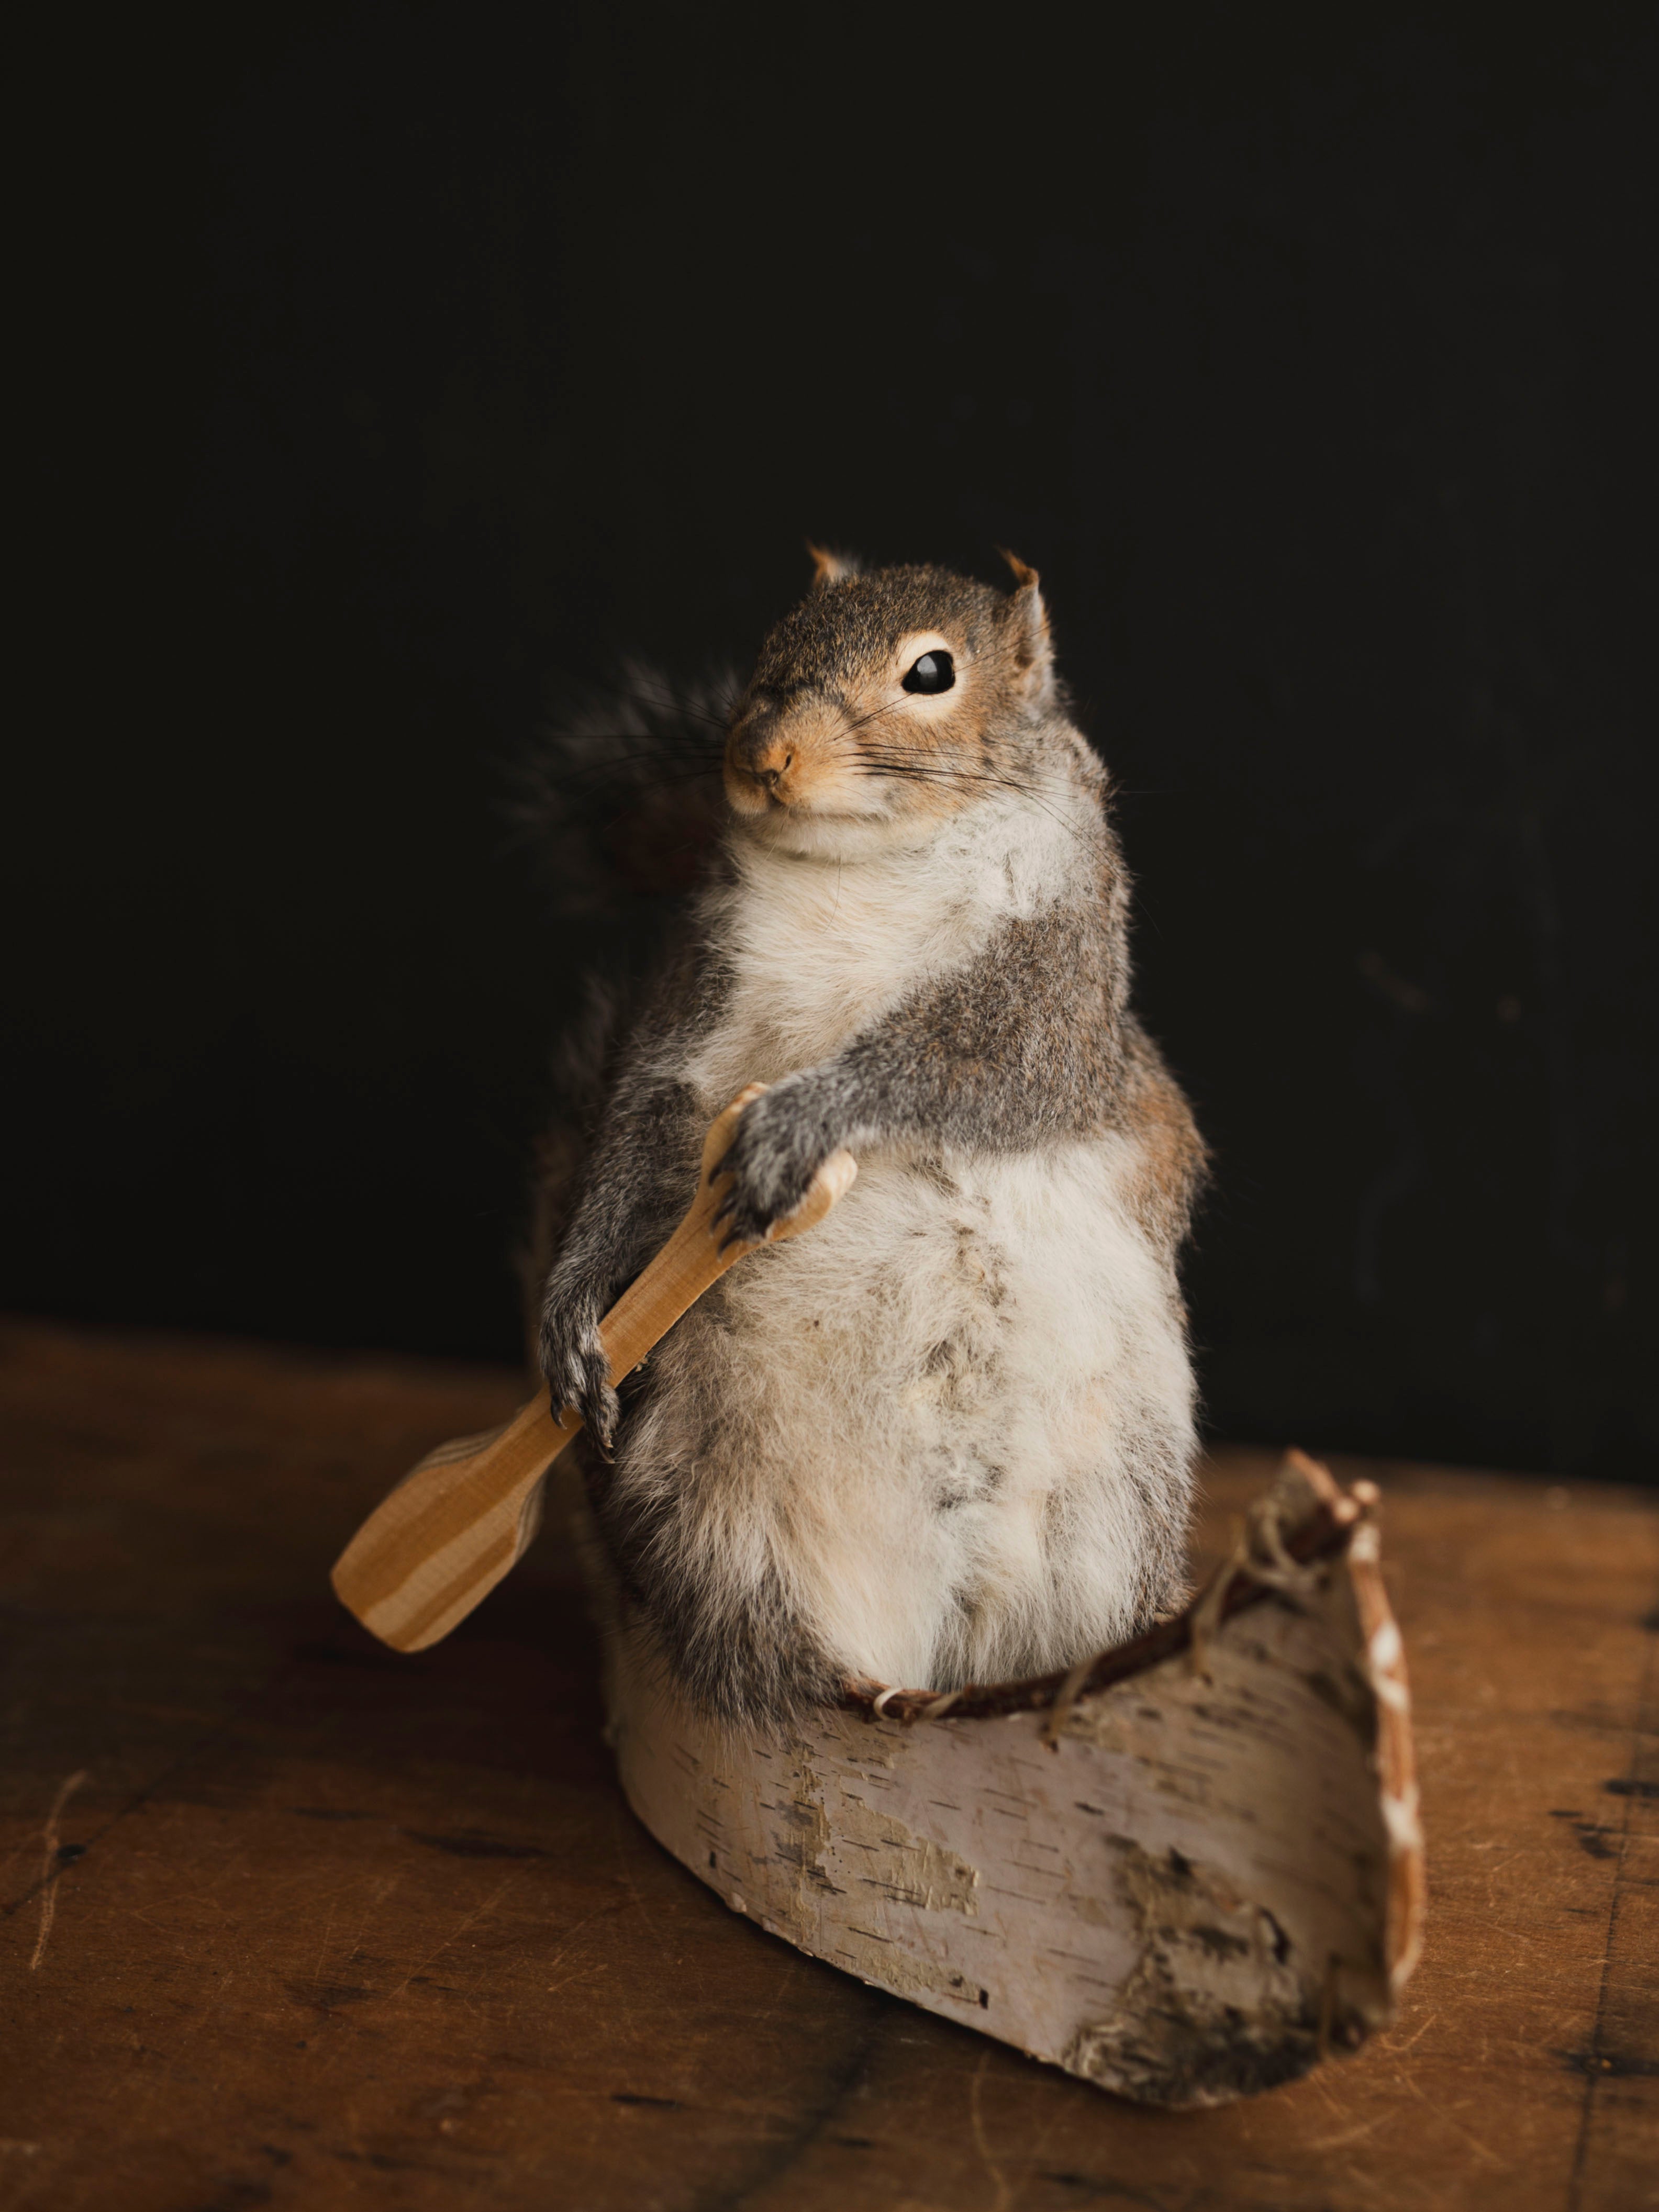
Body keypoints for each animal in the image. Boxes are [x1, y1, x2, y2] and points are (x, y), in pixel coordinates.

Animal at [526, 549, 1207, 1727]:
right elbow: (638, 1135)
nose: (761, 755)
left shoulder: (1058, 989)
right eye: (773, 639)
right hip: (731, 1530)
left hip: (1113, 1520)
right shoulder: (693, 1007)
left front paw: (805, 1117)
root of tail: (936, 1649)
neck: (864, 863)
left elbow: (955, 1064)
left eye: (932, 671)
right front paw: (575, 1307)